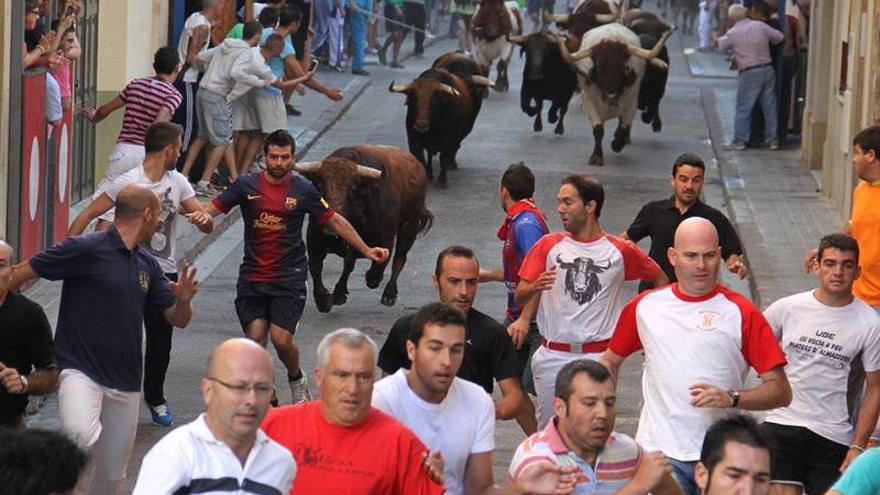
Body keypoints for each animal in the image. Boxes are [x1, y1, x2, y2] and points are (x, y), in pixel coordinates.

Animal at [296, 145, 434, 312]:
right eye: (320, 185)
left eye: (353, 188)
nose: (330, 227)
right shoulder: (314, 238)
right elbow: (315, 268)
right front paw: (323, 300)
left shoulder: (386, 238)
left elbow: (377, 271)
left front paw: (373, 279)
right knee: (349, 265)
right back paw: (339, 293)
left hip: (410, 225)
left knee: (399, 258)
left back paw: (389, 294)